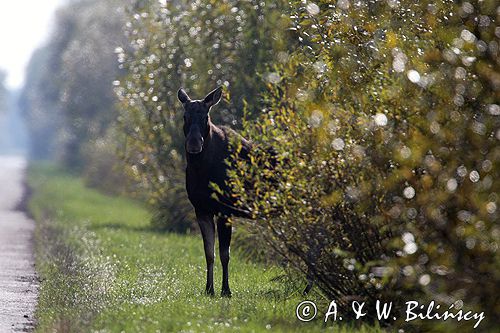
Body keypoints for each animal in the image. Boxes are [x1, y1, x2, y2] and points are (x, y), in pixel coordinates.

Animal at [178, 86, 252, 296]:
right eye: (185, 116)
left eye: (206, 117)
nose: (194, 144)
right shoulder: (202, 209)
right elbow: (209, 253)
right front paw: (209, 289)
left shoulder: (225, 210)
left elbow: (224, 254)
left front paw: (226, 290)